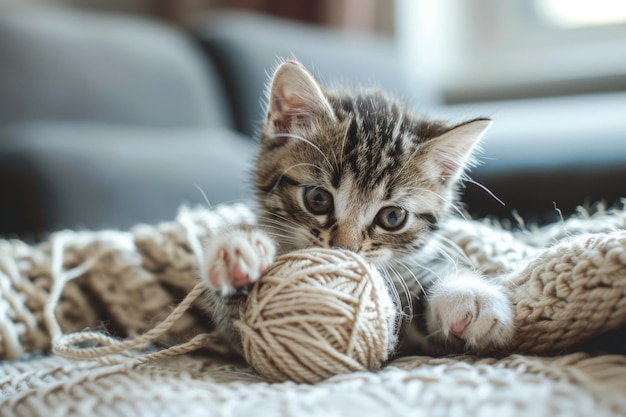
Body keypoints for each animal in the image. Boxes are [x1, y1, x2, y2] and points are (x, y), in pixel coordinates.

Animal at [200, 60, 512, 356]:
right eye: (318, 199)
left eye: (392, 217)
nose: (344, 250)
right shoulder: (230, 336)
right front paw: (237, 254)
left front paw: (469, 296)